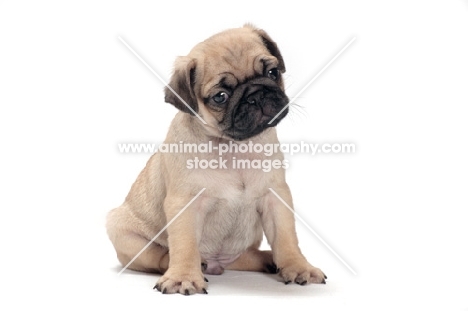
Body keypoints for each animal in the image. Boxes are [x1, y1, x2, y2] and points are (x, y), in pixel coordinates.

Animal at [106, 24, 326, 294]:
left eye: (272, 72)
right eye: (220, 97)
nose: (256, 94)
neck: (234, 147)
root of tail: (215, 264)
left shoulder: (276, 197)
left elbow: (286, 238)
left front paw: (298, 266)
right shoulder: (185, 204)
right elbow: (185, 244)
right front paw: (183, 276)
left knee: (244, 257)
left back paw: (268, 260)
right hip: (121, 231)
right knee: (158, 257)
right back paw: (187, 264)